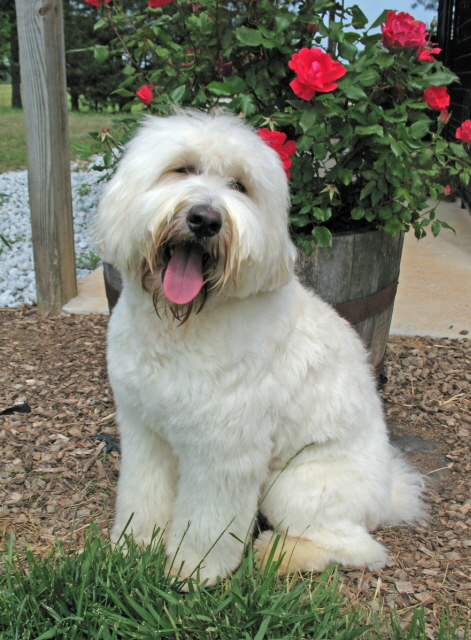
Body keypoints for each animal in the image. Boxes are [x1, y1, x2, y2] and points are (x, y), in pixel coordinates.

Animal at [95, 109, 424, 585]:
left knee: (357, 548)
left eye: (240, 185)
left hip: (294, 488)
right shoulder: (144, 432)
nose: (205, 219)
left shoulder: (224, 453)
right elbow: (143, 494)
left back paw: (274, 554)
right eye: (182, 169)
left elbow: (207, 523)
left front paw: (191, 570)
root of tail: (387, 498)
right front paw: (134, 546)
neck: (182, 324)